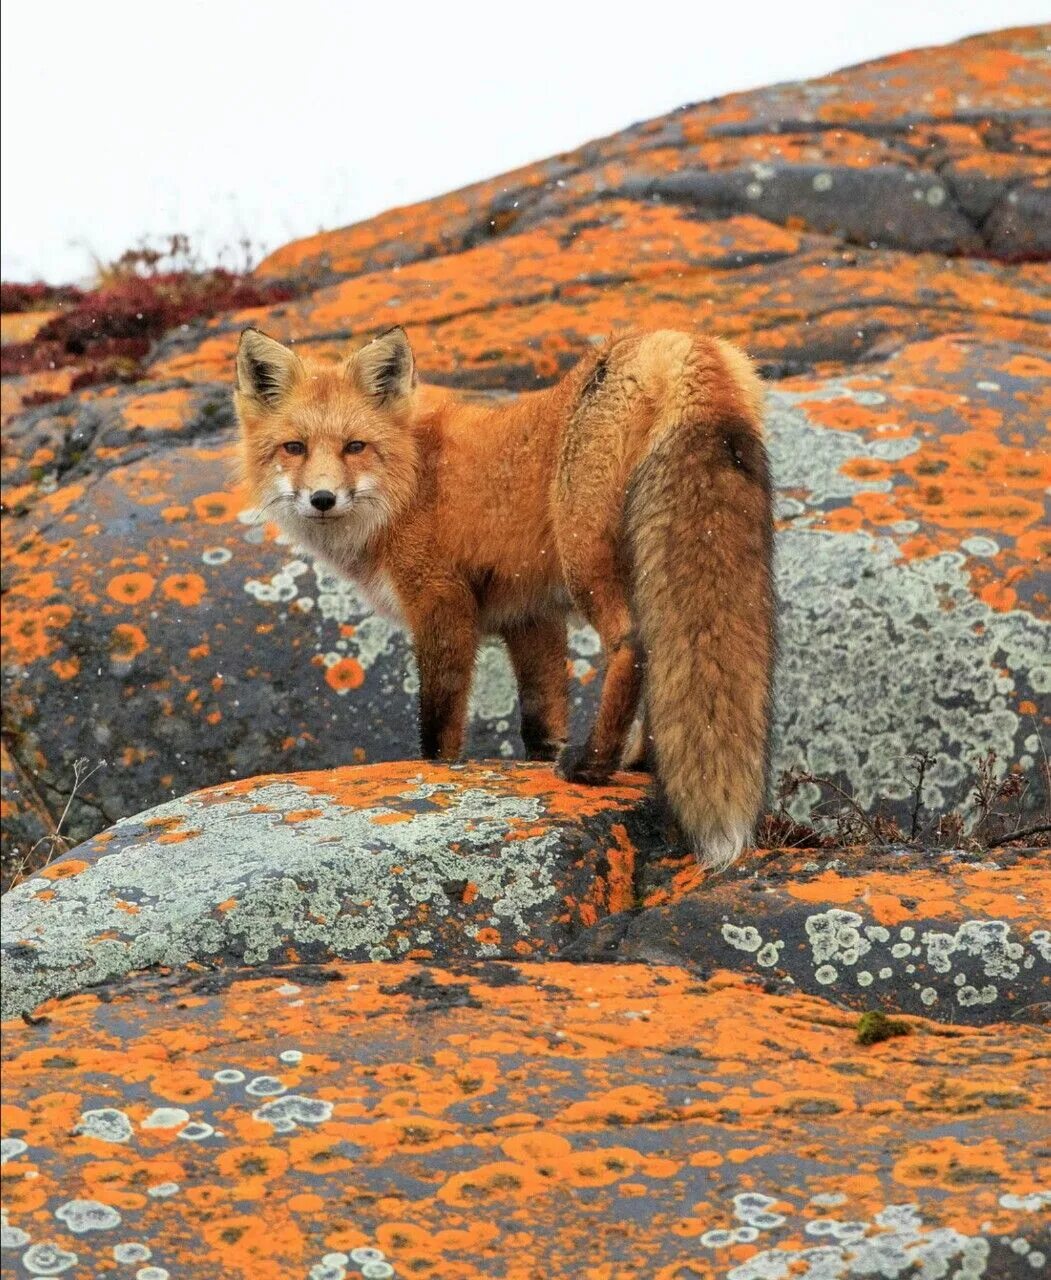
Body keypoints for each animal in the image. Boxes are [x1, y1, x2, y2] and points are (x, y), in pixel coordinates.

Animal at [234, 327, 773, 870]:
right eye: (294, 448)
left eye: (355, 447)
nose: (322, 499)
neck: (412, 481)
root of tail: (677, 341)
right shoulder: (531, 617)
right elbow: (539, 719)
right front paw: (540, 765)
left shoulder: (441, 602)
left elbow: (440, 727)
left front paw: (440, 772)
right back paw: (638, 761)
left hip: (584, 554)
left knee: (633, 645)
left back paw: (593, 765)